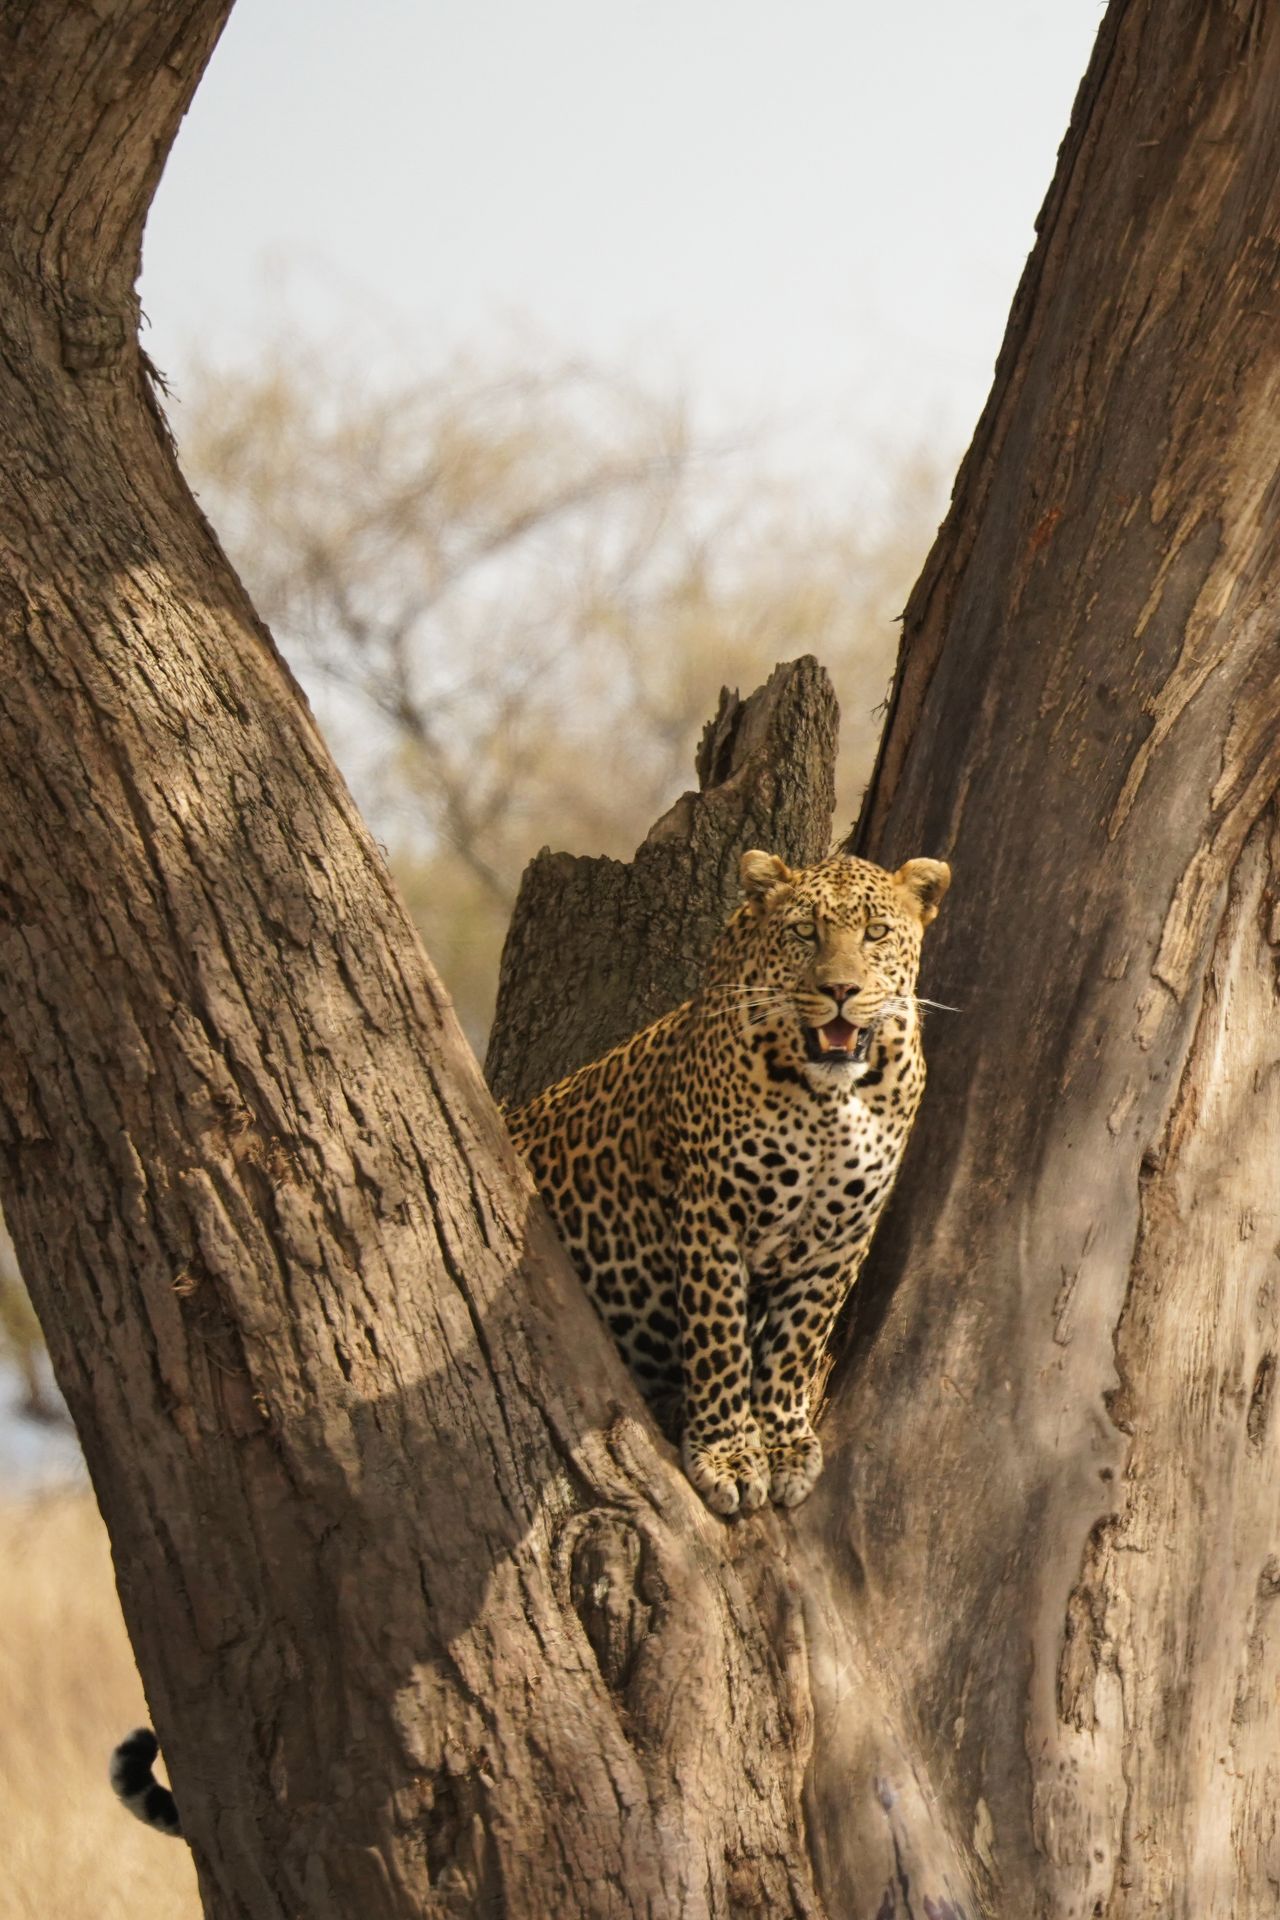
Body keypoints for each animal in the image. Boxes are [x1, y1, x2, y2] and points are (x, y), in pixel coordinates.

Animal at [506, 847, 950, 1516]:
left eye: (876, 933)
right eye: (804, 932)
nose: (840, 990)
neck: (833, 1096)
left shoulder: (844, 1235)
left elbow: (797, 1341)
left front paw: (784, 1444)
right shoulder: (712, 1212)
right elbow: (720, 1340)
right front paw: (730, 1456)